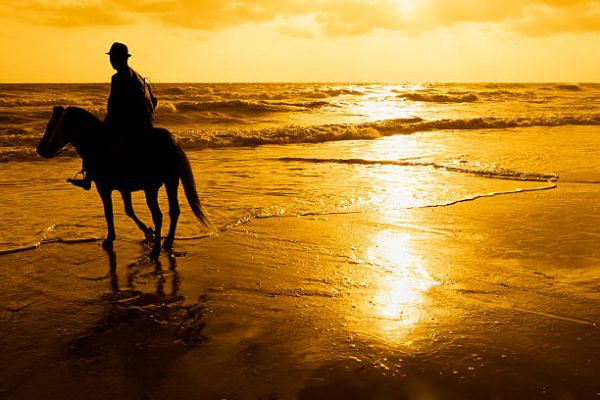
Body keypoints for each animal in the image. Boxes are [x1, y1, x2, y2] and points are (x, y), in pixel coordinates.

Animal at [37, 104, 211, 258]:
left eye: (51, 125)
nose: (40, 150)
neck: (97, 142)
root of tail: (171, 144)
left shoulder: (103, 187)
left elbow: (108, 212)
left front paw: (110, 238)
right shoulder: (124, 189)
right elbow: (129, 210)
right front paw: (148, 232)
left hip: (151, 188)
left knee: (158, 215)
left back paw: (156, 250)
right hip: (171, 181)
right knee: (173, 211)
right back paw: (167, 241)